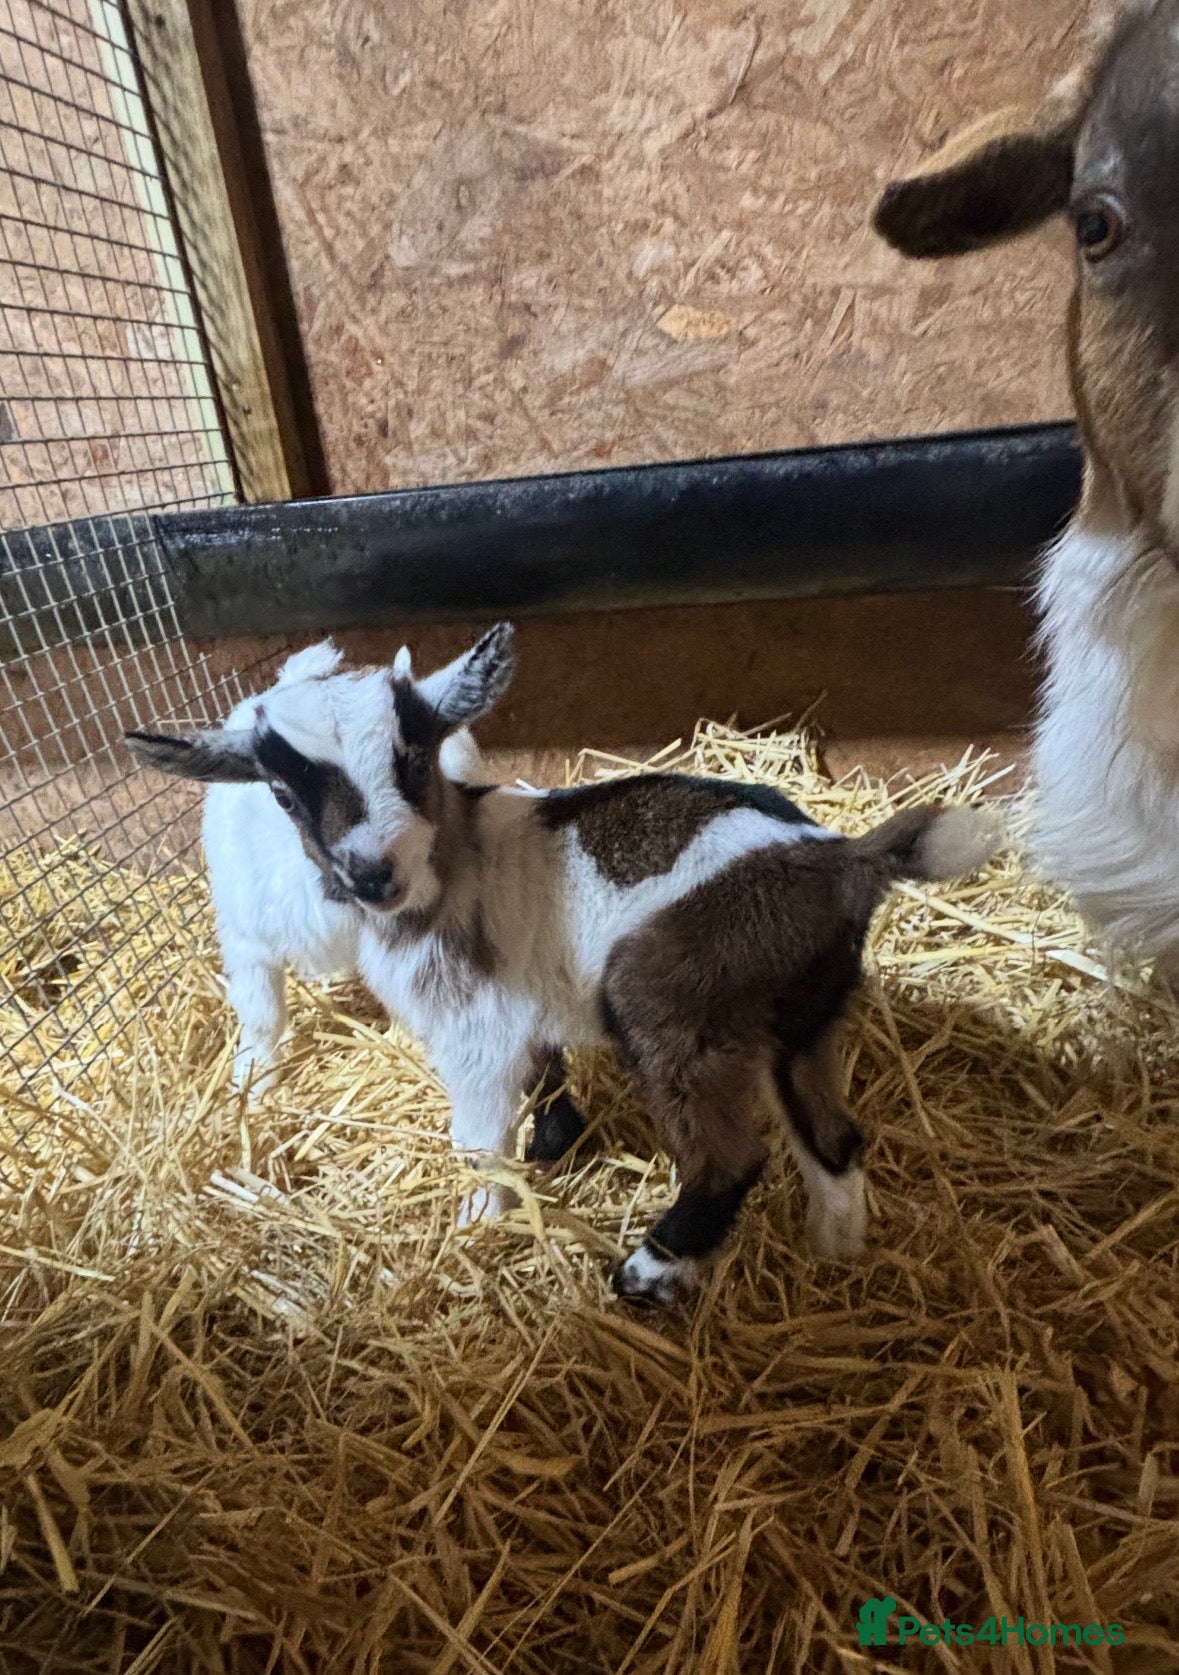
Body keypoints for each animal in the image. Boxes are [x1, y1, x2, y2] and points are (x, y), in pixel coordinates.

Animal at [126, 625, 999, 1302]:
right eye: (281, 791)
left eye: (413, 758)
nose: (371, 873)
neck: (457, 859)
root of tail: (840, 860)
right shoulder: (527, 1006)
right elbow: (545, 1077)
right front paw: (553, 1145)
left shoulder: (475, 1031)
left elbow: (479, 1137)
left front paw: (478, 1223)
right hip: (802, 1021)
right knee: (833, 1136)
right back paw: (833, 1252)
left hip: (670, 1007)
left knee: (731, 1157)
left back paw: (647, 1273)